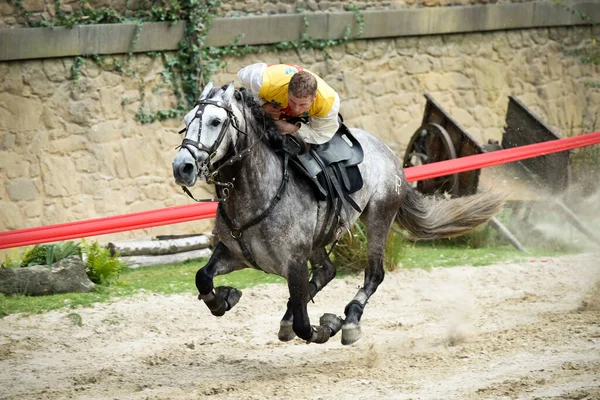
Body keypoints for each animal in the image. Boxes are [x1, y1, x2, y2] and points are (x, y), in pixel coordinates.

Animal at [172, 81, 502, 344]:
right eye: (187, 120)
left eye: (216, 121)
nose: (182, 167)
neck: (255, 192)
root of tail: (388, 152)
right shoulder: (234, 253)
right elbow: (203, 277)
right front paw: (225, 298)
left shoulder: (294, 263)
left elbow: (305, 324)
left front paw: (327, 327)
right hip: (321, 237)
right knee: (326, 272)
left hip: (379, 216)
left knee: (372, 274)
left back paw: (350, 320)